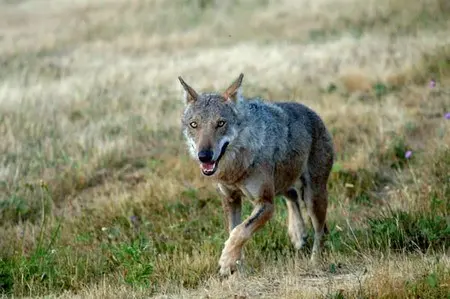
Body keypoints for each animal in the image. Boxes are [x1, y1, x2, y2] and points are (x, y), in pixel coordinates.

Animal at [178, 74, 336, 278]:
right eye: (194, 125)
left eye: (220, 123)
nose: (204, 156)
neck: (236, 168)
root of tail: (314, 114)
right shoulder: (230, 199)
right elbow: (233, 230)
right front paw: (235, 266)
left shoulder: (266, 204)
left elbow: (240, 231)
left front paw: (226, 261)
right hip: (284, 185)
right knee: (292, 197)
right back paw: (297, 234)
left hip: (312, 198)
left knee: (320, 230)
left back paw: (315, 261)